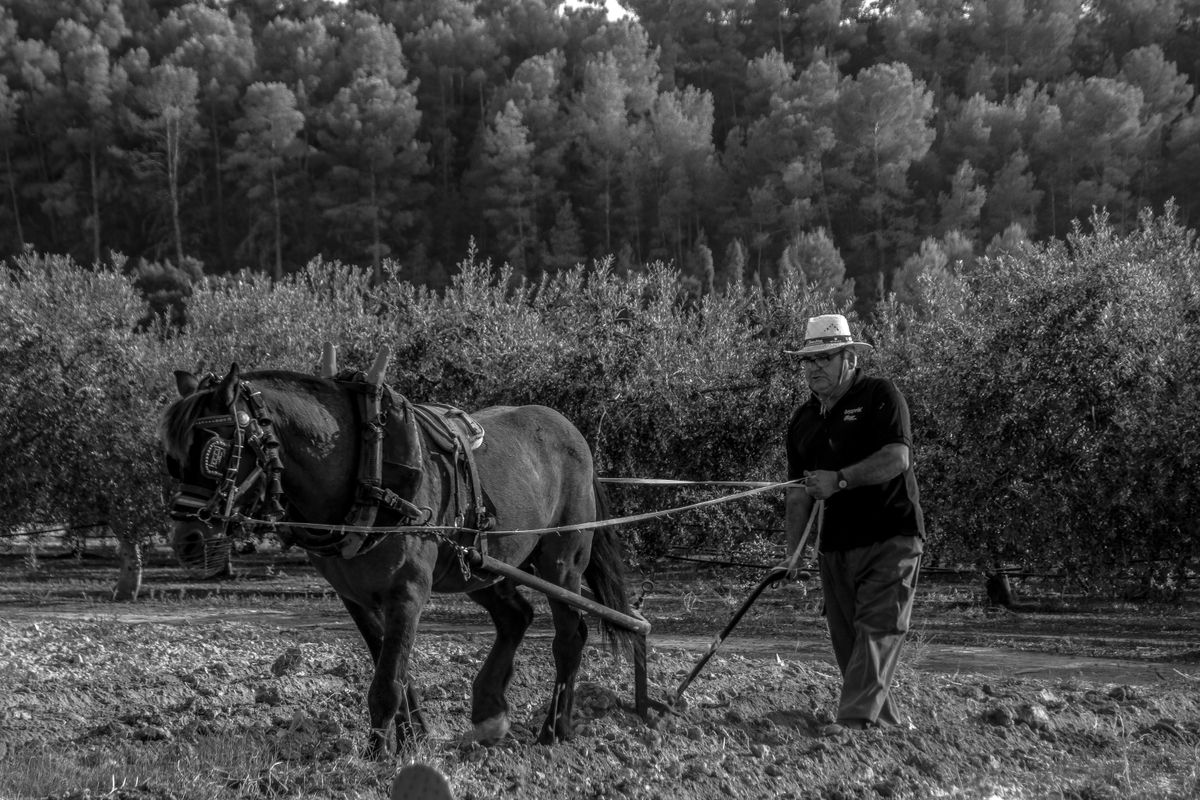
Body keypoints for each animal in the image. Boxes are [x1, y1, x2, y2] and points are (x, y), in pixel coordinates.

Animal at [159, 359, 638, 753]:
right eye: (172, 456)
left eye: (215, 448)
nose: (187, 541)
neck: (364, 467)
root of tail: (570, 432)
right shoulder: (356, 596)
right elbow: (396, 670)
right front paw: (411, 740)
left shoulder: (407, 591)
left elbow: (387, 681)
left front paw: (376, 755)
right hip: (476, 566)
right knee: (515, 617)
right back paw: (490, 713)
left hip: (561, 564)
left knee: (569, 636)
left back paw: (553, 731)